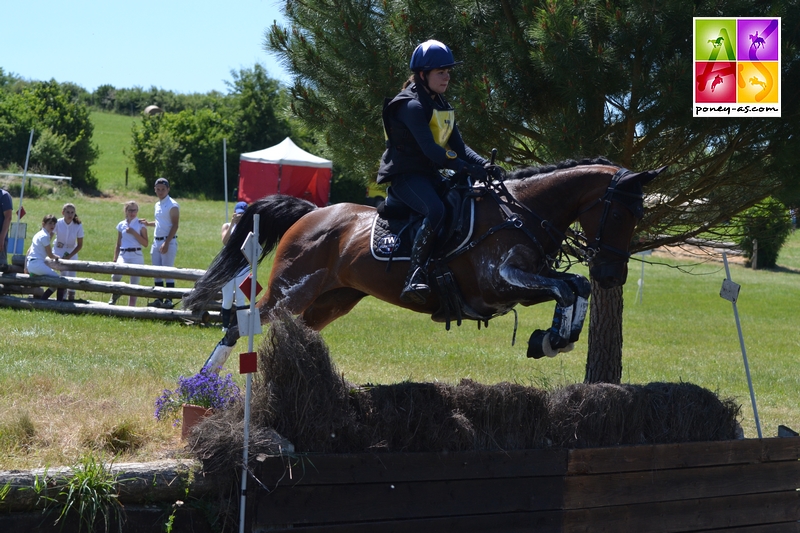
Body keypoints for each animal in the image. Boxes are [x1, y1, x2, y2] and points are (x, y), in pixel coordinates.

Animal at [186, 156, 664, 368]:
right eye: (621, 214)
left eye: (640, 214)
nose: (612, 275)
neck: (521, 213)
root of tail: (310, 213)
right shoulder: (499, 282)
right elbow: (565, 286)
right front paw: (551, 339)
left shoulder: (525, 283)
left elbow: (573, 287)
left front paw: (552, 339)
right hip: (293, 288)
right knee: (241, 323)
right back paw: (204, 388)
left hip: (334, 299)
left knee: (294, 328)